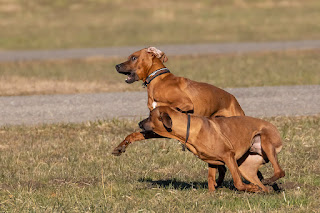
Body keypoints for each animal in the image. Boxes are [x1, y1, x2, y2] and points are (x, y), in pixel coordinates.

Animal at [139, 107, 284, 192]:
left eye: (150, 116)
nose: (139, 123)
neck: (188, 129)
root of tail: (274, 127)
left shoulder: (228, 155)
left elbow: (238, 183)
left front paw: (248, 187)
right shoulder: (212, 161)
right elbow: (210, 178)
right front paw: (212, 194)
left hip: (266, 142)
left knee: (280, 171)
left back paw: (265, 183)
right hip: (245, 167)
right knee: (263, 184)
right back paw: (265, 189)